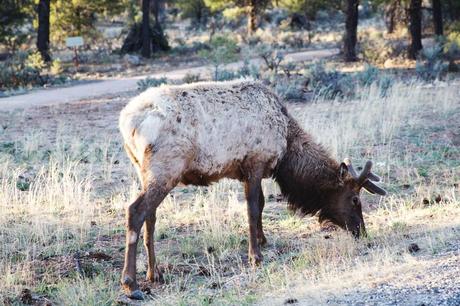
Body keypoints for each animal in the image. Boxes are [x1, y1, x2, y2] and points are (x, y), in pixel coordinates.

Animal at [118, 79, 384, 298]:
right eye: (354, 199)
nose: (362, 231)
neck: (287, 147)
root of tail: (126, 123)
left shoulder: (249, 170)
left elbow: (262, 204)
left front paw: (263, 240)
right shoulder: (256, 162)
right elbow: (253, 208)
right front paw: (255, 256)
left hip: (145, 171)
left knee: (151, 216)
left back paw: (154, 273)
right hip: (167, 168)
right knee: (136, 211)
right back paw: (131, 284)